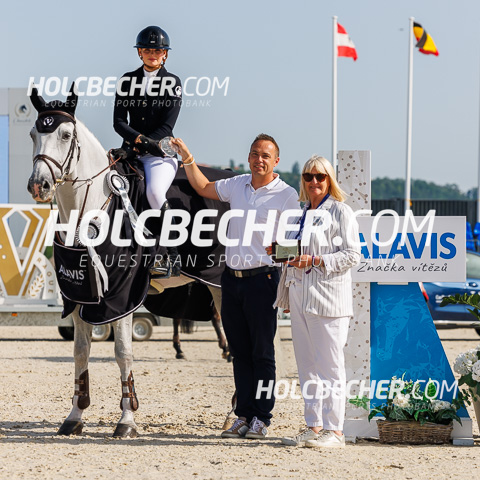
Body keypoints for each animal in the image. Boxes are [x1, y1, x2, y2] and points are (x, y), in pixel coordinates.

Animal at [26, 84, 229, 437]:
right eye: (33, 134)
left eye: (65, 134)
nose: (40, 185)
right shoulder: (79, 293)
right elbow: (80, 351)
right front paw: (75, 415)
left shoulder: (122, 295)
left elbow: (123, 352)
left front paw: (127, 420)